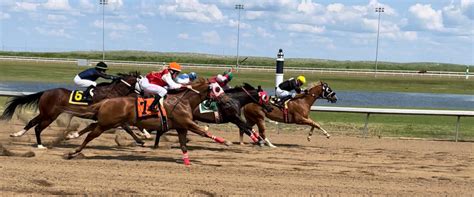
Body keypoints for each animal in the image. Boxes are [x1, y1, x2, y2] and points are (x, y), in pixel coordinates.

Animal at [0, 72, 141, 148]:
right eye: (142, 81)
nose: (142, 94)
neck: (113, 93)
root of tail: (45, 92)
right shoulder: (113, 118)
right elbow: (127, 128)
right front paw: (140, 140)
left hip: (45, 113)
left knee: (31, 123)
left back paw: (17, 134)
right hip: (50, 115)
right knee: (38, 127)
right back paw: (40, 145)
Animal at [63, 77, 233, 165]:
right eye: (218, 89)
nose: (229, 101)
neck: (184, 101)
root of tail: (106, 101)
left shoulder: (181, 127)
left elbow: (183, 145)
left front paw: (187, 162)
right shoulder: (187, 123)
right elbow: (203, 133)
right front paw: (226, 142)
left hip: (107, 122)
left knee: (92, 125)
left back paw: (72, 136)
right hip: (107, 123)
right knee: (91, 135)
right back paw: (73, 152)